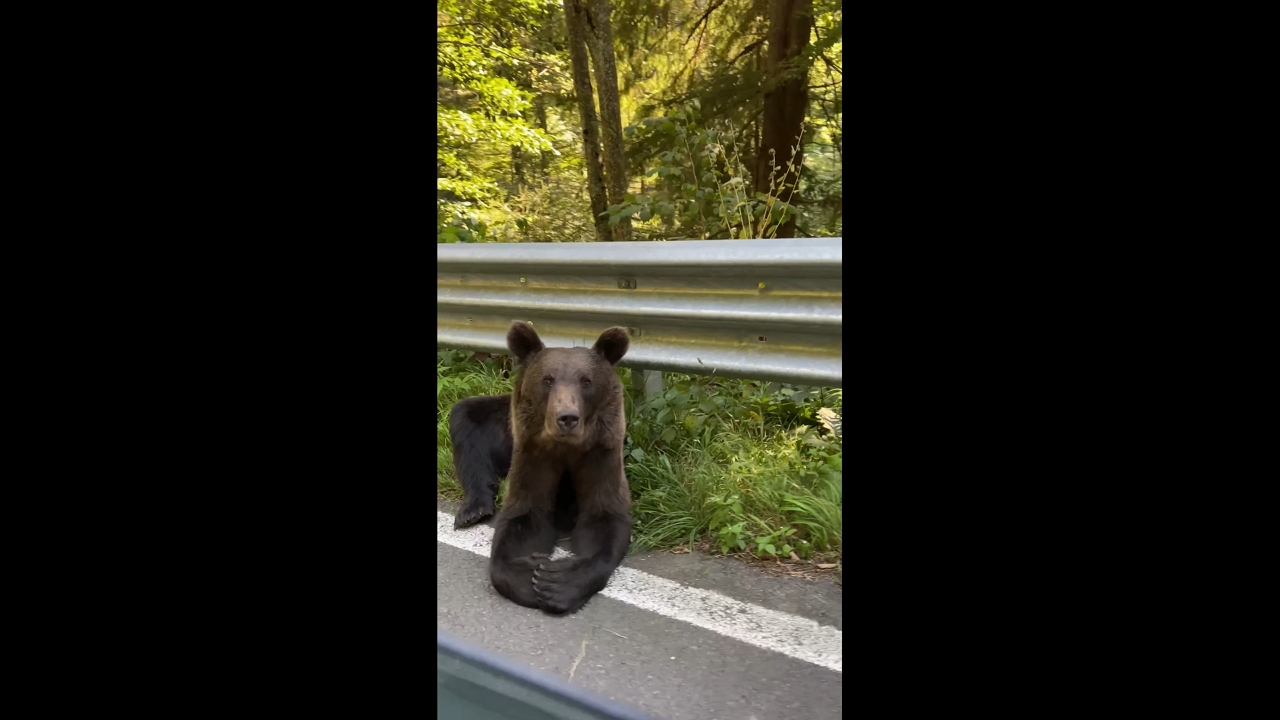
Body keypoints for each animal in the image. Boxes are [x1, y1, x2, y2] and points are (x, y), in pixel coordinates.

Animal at [448, 321, 633, 615]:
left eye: (586, 381)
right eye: (548, 379)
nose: (567, 418)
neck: (566, 447)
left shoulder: (600, 452)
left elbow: (604, 515)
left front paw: (556, 582)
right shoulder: (533, 452)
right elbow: (525, 515)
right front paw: (530, 572)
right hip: (501, 424)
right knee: (464, 416)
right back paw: (473, 509)